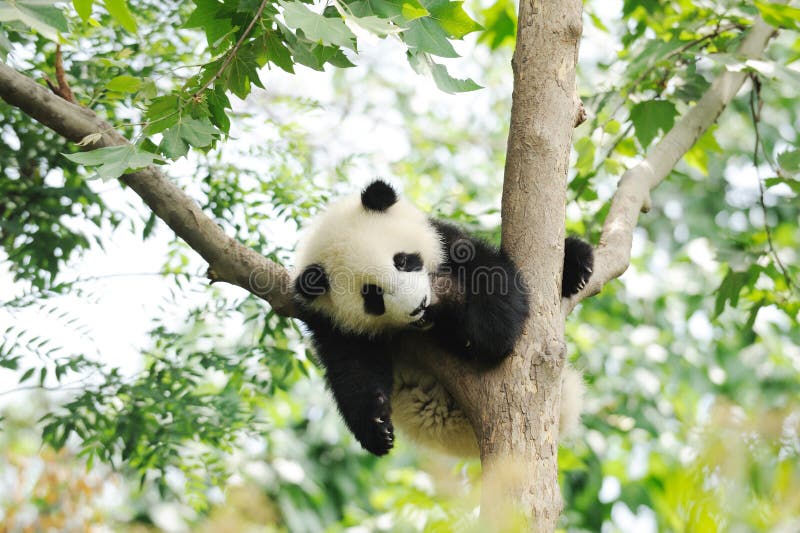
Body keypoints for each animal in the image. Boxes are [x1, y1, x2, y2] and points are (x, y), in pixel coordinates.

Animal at [292, 180, 592, 456]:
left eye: (402, 261)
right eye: (373, 296)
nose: (420, 307)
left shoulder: (447, 242)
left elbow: (494, 295)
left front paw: (463, 305)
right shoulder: (330, 323)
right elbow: (354, 367)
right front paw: (376, 425)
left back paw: (577, 264)